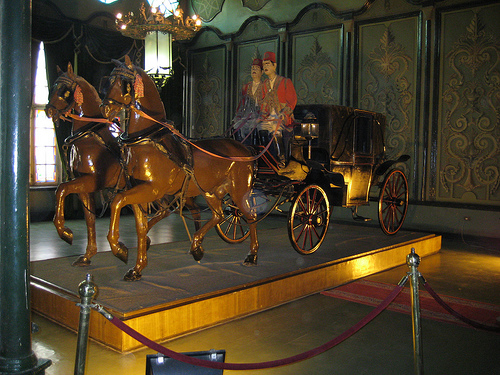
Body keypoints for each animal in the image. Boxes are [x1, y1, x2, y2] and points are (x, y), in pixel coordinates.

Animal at [100, 56, 260, 282]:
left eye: (123, 83)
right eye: (108, 81)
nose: (104, 109)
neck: (146, 139)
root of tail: (244, 147)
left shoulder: (151, 189)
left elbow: (117, 201)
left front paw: (119, 249)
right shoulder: (138, 190)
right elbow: (140, 227)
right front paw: (137, 267)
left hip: (239, 191)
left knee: (250, 216)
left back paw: (252, 255)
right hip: (210, 191)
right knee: (218, 215)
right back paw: (196, 247)